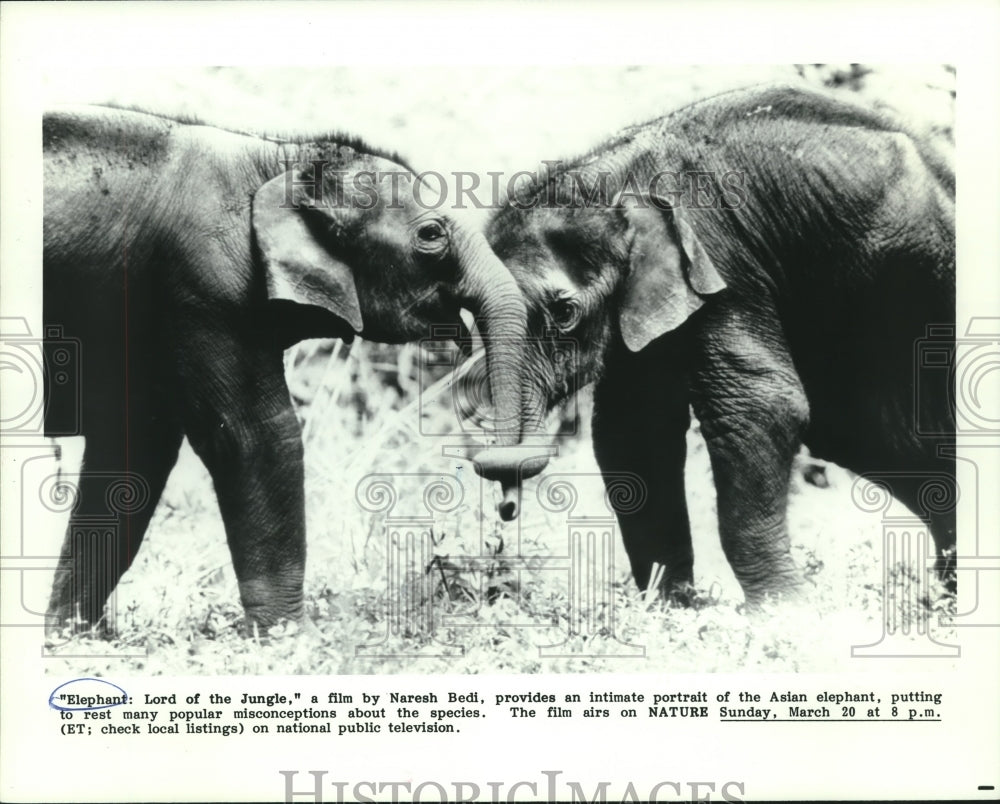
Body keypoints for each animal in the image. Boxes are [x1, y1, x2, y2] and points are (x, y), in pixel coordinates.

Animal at [45, 107, 548, 636]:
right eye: (431, 235)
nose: (507, 507)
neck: (279, 158)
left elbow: (134, 450)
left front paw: (69, 634)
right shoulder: (207, 287)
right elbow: (256, 436)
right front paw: (289, 636)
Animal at [488, 85, 956, 608]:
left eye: (564, 313)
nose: (506, 511)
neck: (610, 179)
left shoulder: (719, 260)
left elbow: (759, 406)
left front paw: (783, 611)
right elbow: (633, 429)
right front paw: (673, 605)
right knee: (880, 438)